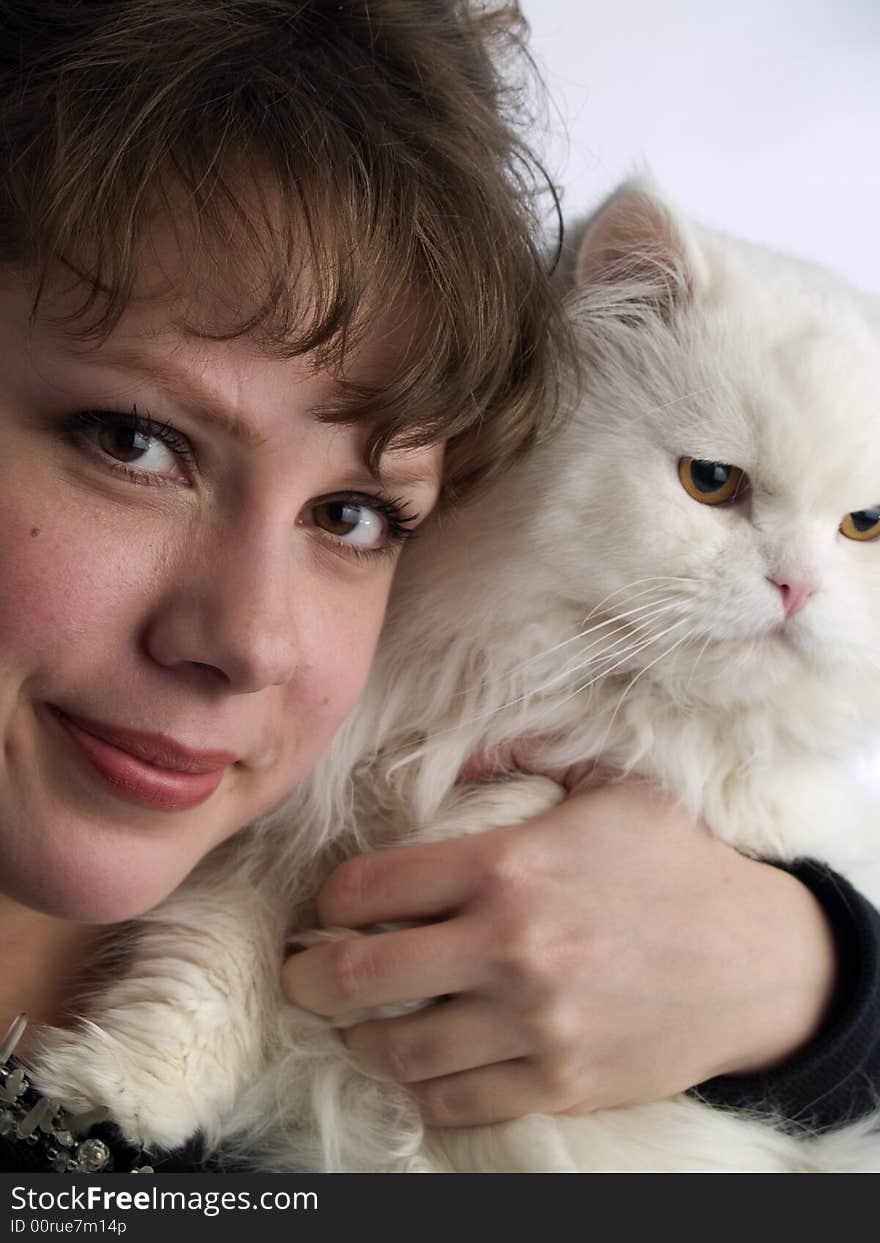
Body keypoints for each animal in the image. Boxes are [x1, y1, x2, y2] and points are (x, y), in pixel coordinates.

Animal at [34, 180, 880, 1168]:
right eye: (710, 481)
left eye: (862, 527)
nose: (797, 586)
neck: (531, 683)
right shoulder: (278, 827)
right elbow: (201, 970)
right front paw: (115, 1092)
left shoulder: (730, 802)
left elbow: (526, 802)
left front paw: (398, 917)